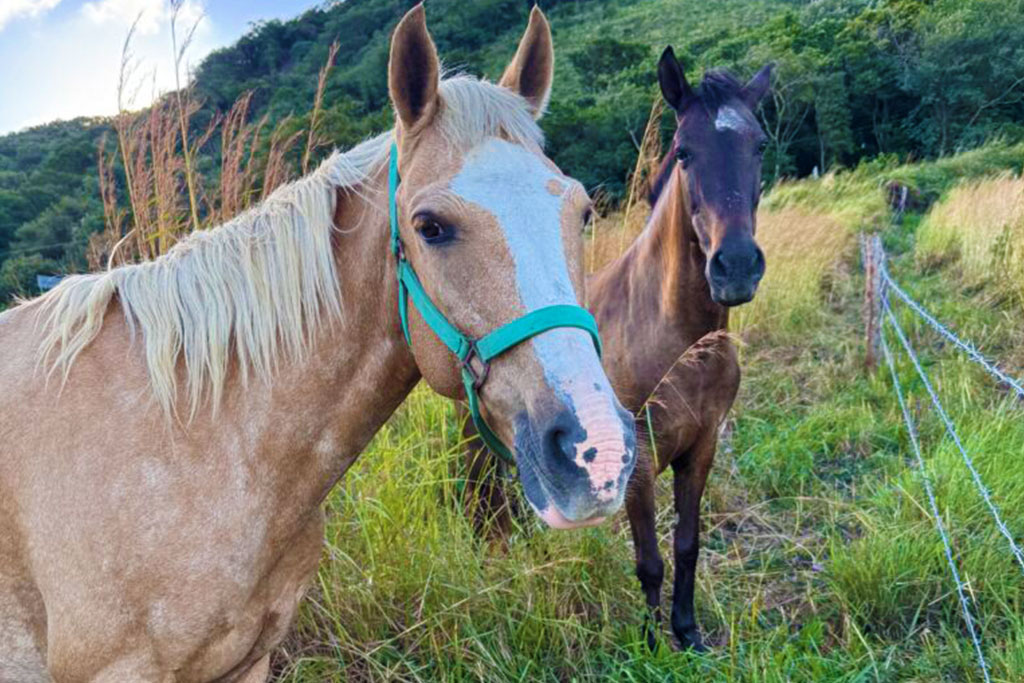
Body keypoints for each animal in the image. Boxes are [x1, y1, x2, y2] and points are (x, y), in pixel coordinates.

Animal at [461, 46, 772, 651]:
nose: (736, 266)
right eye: (685, 152)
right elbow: (649, 559)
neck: (677, 340)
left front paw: (687, 631)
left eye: (760, 145)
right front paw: (651, 644)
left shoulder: (701, 449)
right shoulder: (641, 461)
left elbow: (686, 545)